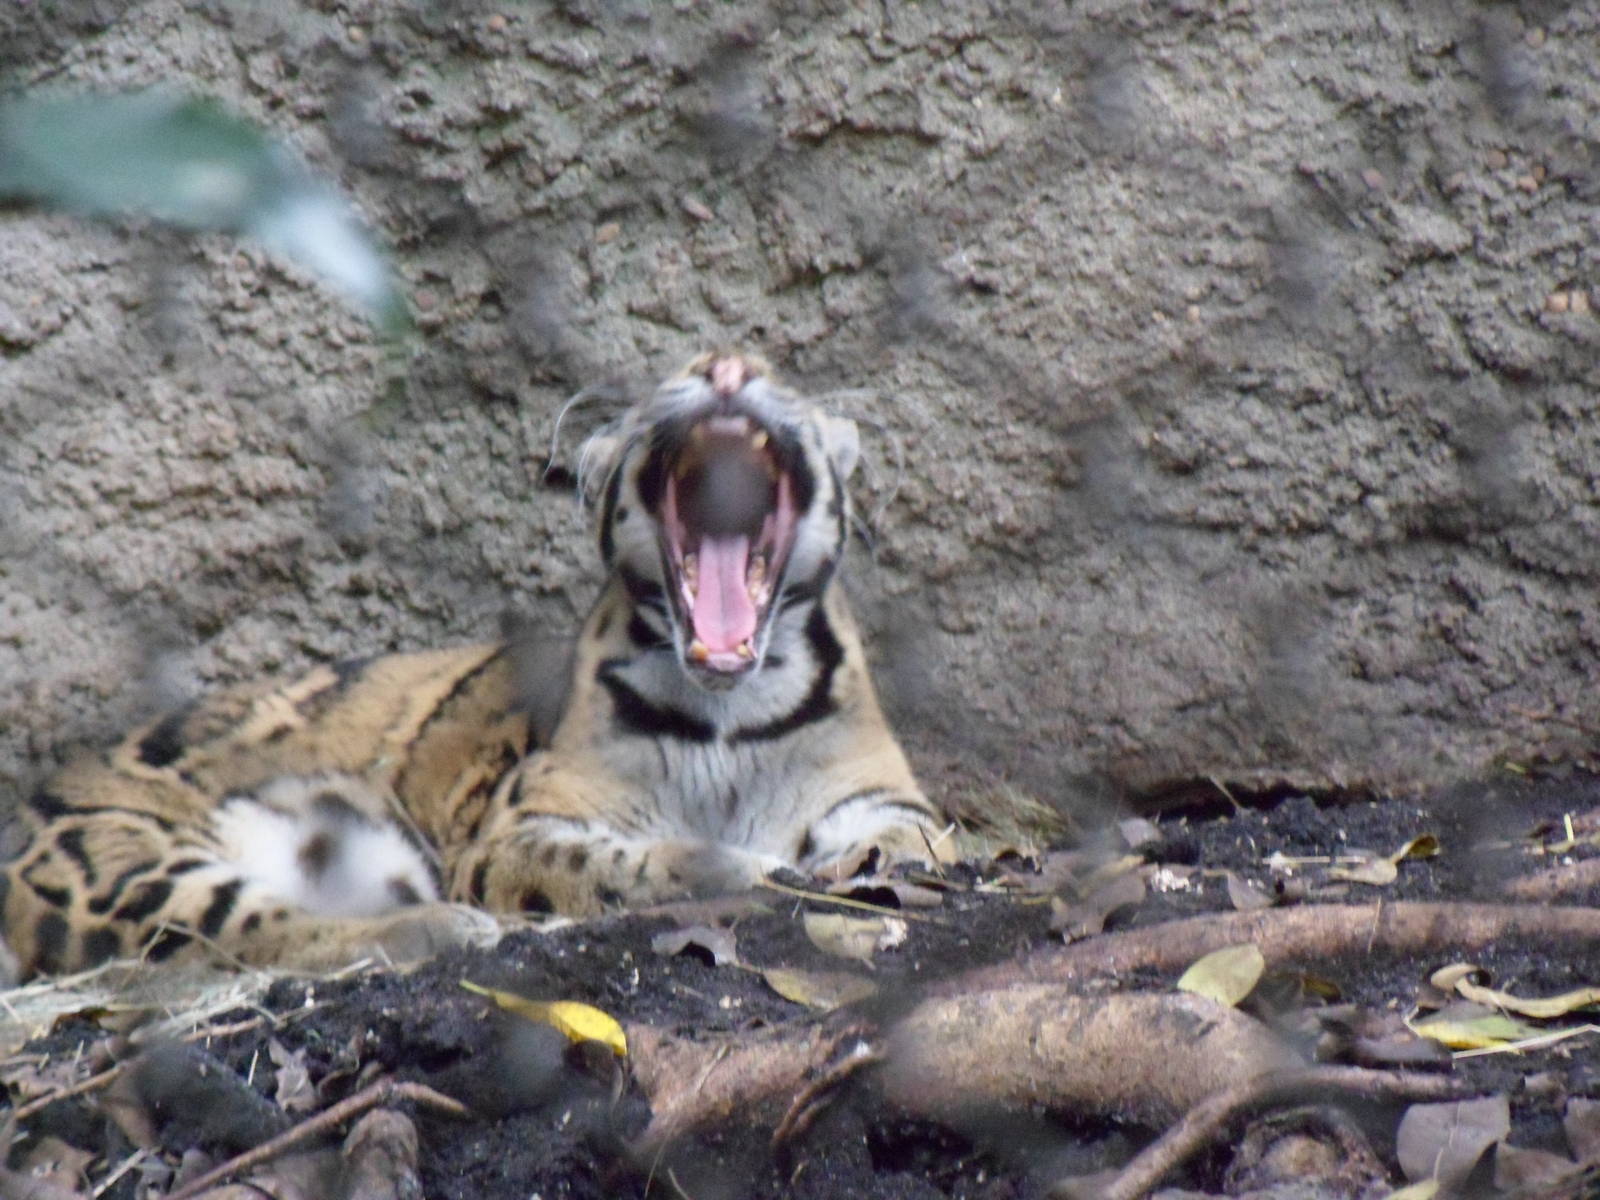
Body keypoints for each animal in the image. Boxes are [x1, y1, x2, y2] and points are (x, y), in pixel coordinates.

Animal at [1, 352, 951, 977]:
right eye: (665, 380)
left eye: (778, 375)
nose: (726, 365)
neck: (728, 710)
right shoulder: (519, 826)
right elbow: (623, 864)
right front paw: (746, 868)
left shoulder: (884, 798)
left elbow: (915, 840)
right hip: (115, 860)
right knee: (239, 931)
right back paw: (438, 930)